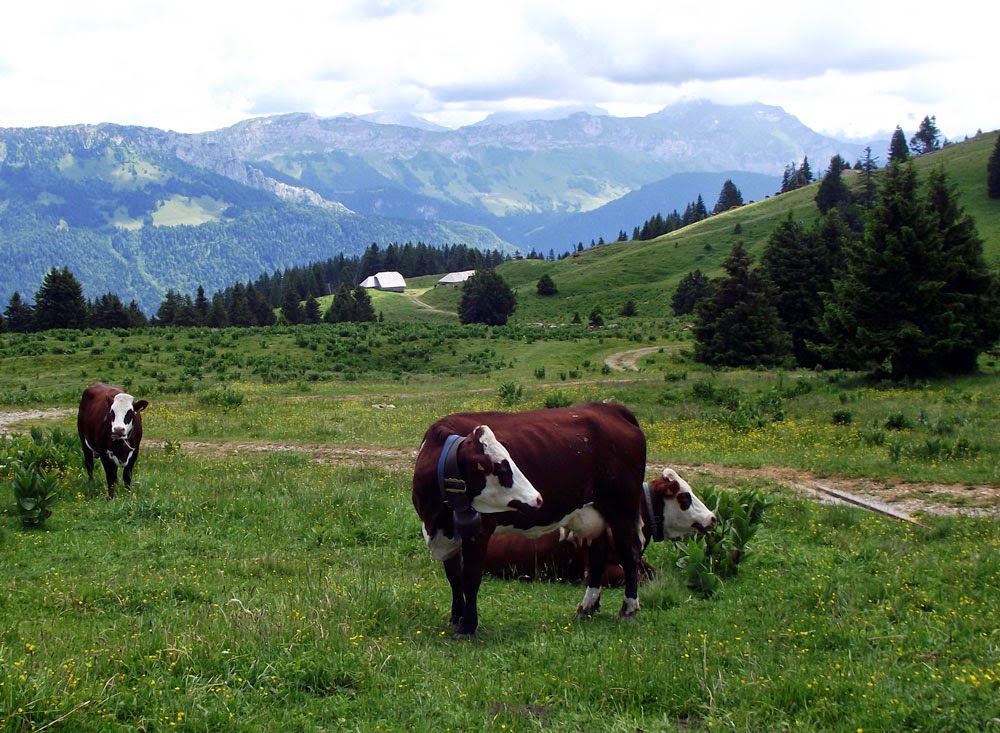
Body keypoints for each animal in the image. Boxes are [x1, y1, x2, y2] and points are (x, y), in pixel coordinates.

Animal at [414, 400, 648, 636]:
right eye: (500, 467)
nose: (537, 498)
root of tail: (608, 407)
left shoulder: (478, 532)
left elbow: (470, 578)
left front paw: (467, 627)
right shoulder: (448, 535)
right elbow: (454, 578)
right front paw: (455, 617)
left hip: (622, 509)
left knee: (630, 554)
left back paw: (628, 610)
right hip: (595, 516)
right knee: (598, 557)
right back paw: (586, 607)